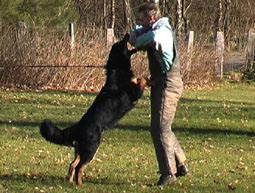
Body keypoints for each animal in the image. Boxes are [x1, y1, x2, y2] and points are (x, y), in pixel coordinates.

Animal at [39, 34, 147, 186]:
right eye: (121, 42)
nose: (126, 34)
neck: (117, 68)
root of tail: (78, 127)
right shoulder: (134, 93)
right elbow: (141, 80)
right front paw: (147, 78)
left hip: (83, 150)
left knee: (72, 164)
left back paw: (71, 181)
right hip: (92, 147)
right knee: (79, 167)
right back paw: (79, 184)